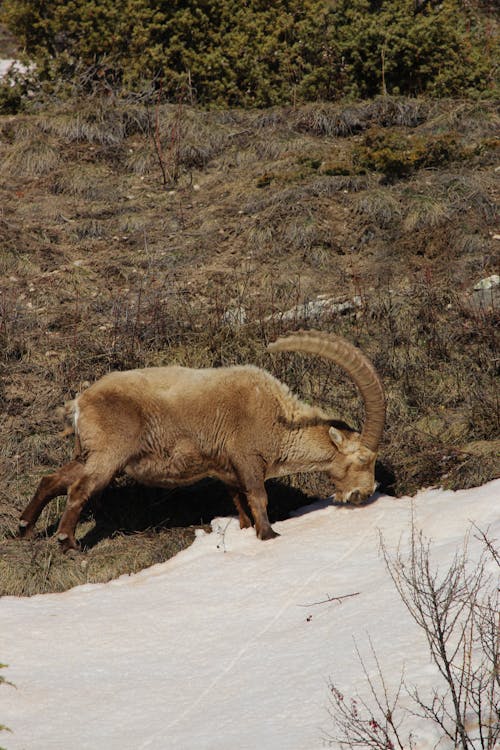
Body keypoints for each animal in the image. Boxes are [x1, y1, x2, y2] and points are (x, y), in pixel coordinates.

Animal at [19, 334, 384, 552]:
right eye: (363, 459)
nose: (364, 494)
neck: (278, 420)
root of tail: (80, 402)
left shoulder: (226, 470)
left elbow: (240, 502)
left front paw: (246, 530)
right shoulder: (247, 457)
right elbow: (259, 496)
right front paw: (269, 535)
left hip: (88, 452)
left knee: (53, 479)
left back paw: (25, 526)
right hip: (109, 455)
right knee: (79, 489)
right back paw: (67, 541)